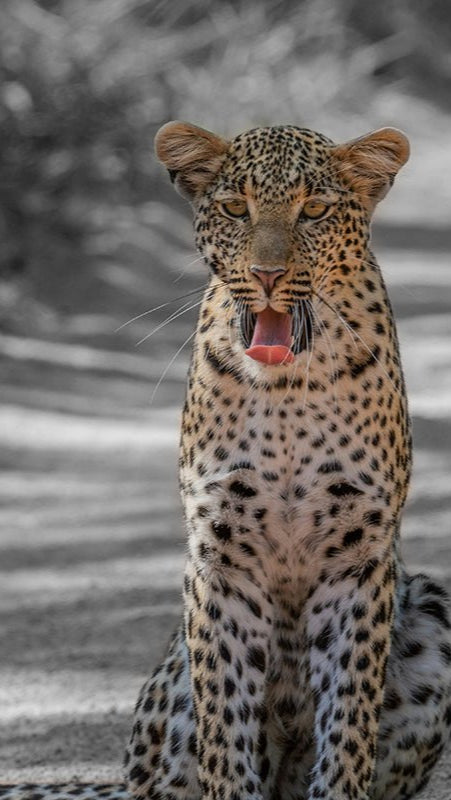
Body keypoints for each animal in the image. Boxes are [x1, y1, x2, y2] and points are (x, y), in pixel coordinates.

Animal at [2, 122, 450, 800]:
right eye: (237, 209)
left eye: (313, 211)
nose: (266, 275)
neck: (287, 389)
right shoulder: (220, 556)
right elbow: (226, 722)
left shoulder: (357, 560)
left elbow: (348, 722)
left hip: (434, 607)